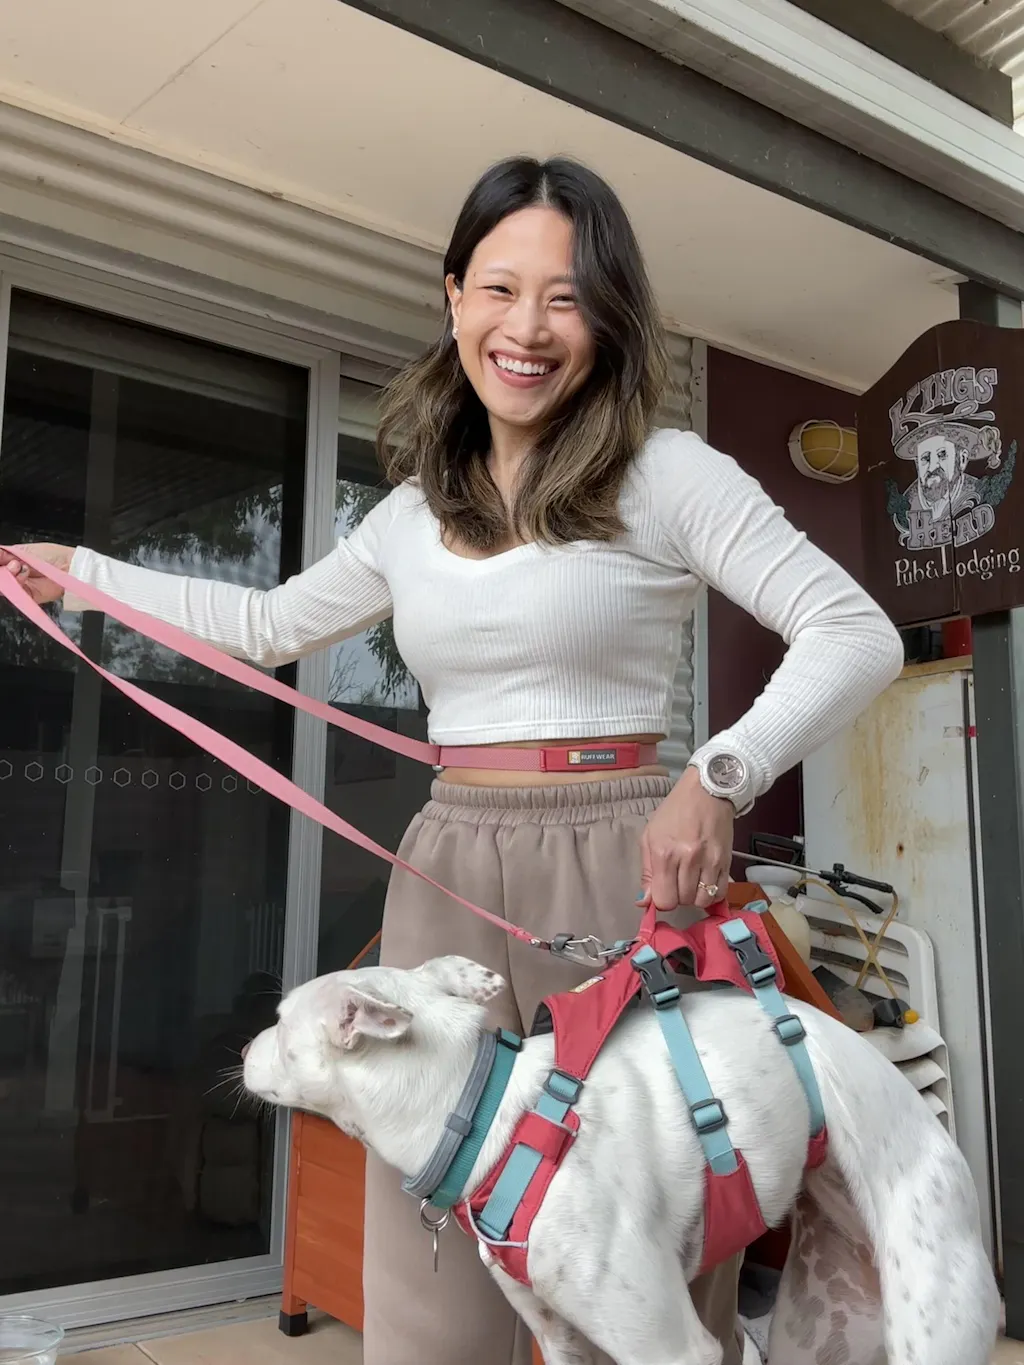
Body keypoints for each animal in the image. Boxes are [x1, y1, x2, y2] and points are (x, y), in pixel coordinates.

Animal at [243, 955, 999, 1365]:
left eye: (279, 1025)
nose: (242, 1047)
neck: (493, 1114)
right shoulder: (560, 1337)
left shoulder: (671, 1346)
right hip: (819, 1333)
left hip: (936, 1322)